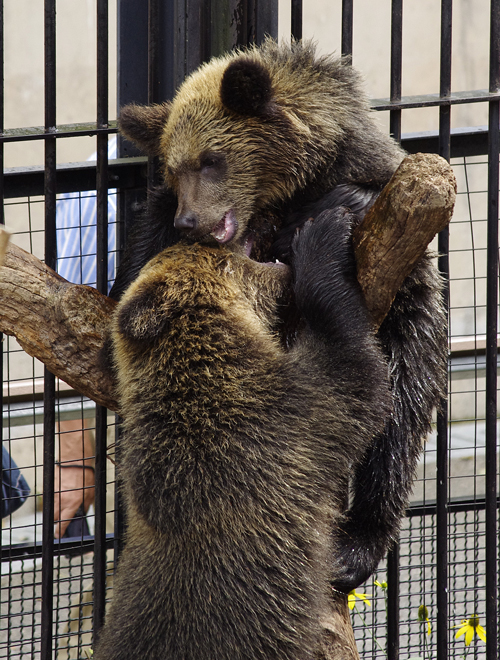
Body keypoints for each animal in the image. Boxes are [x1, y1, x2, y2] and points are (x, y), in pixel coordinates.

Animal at [109, 38, 446, 592]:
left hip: (407, 338)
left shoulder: (381, 188)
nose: (190, 220)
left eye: (211, 159)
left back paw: (356, 544)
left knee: (398, 421)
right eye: (174, 168)